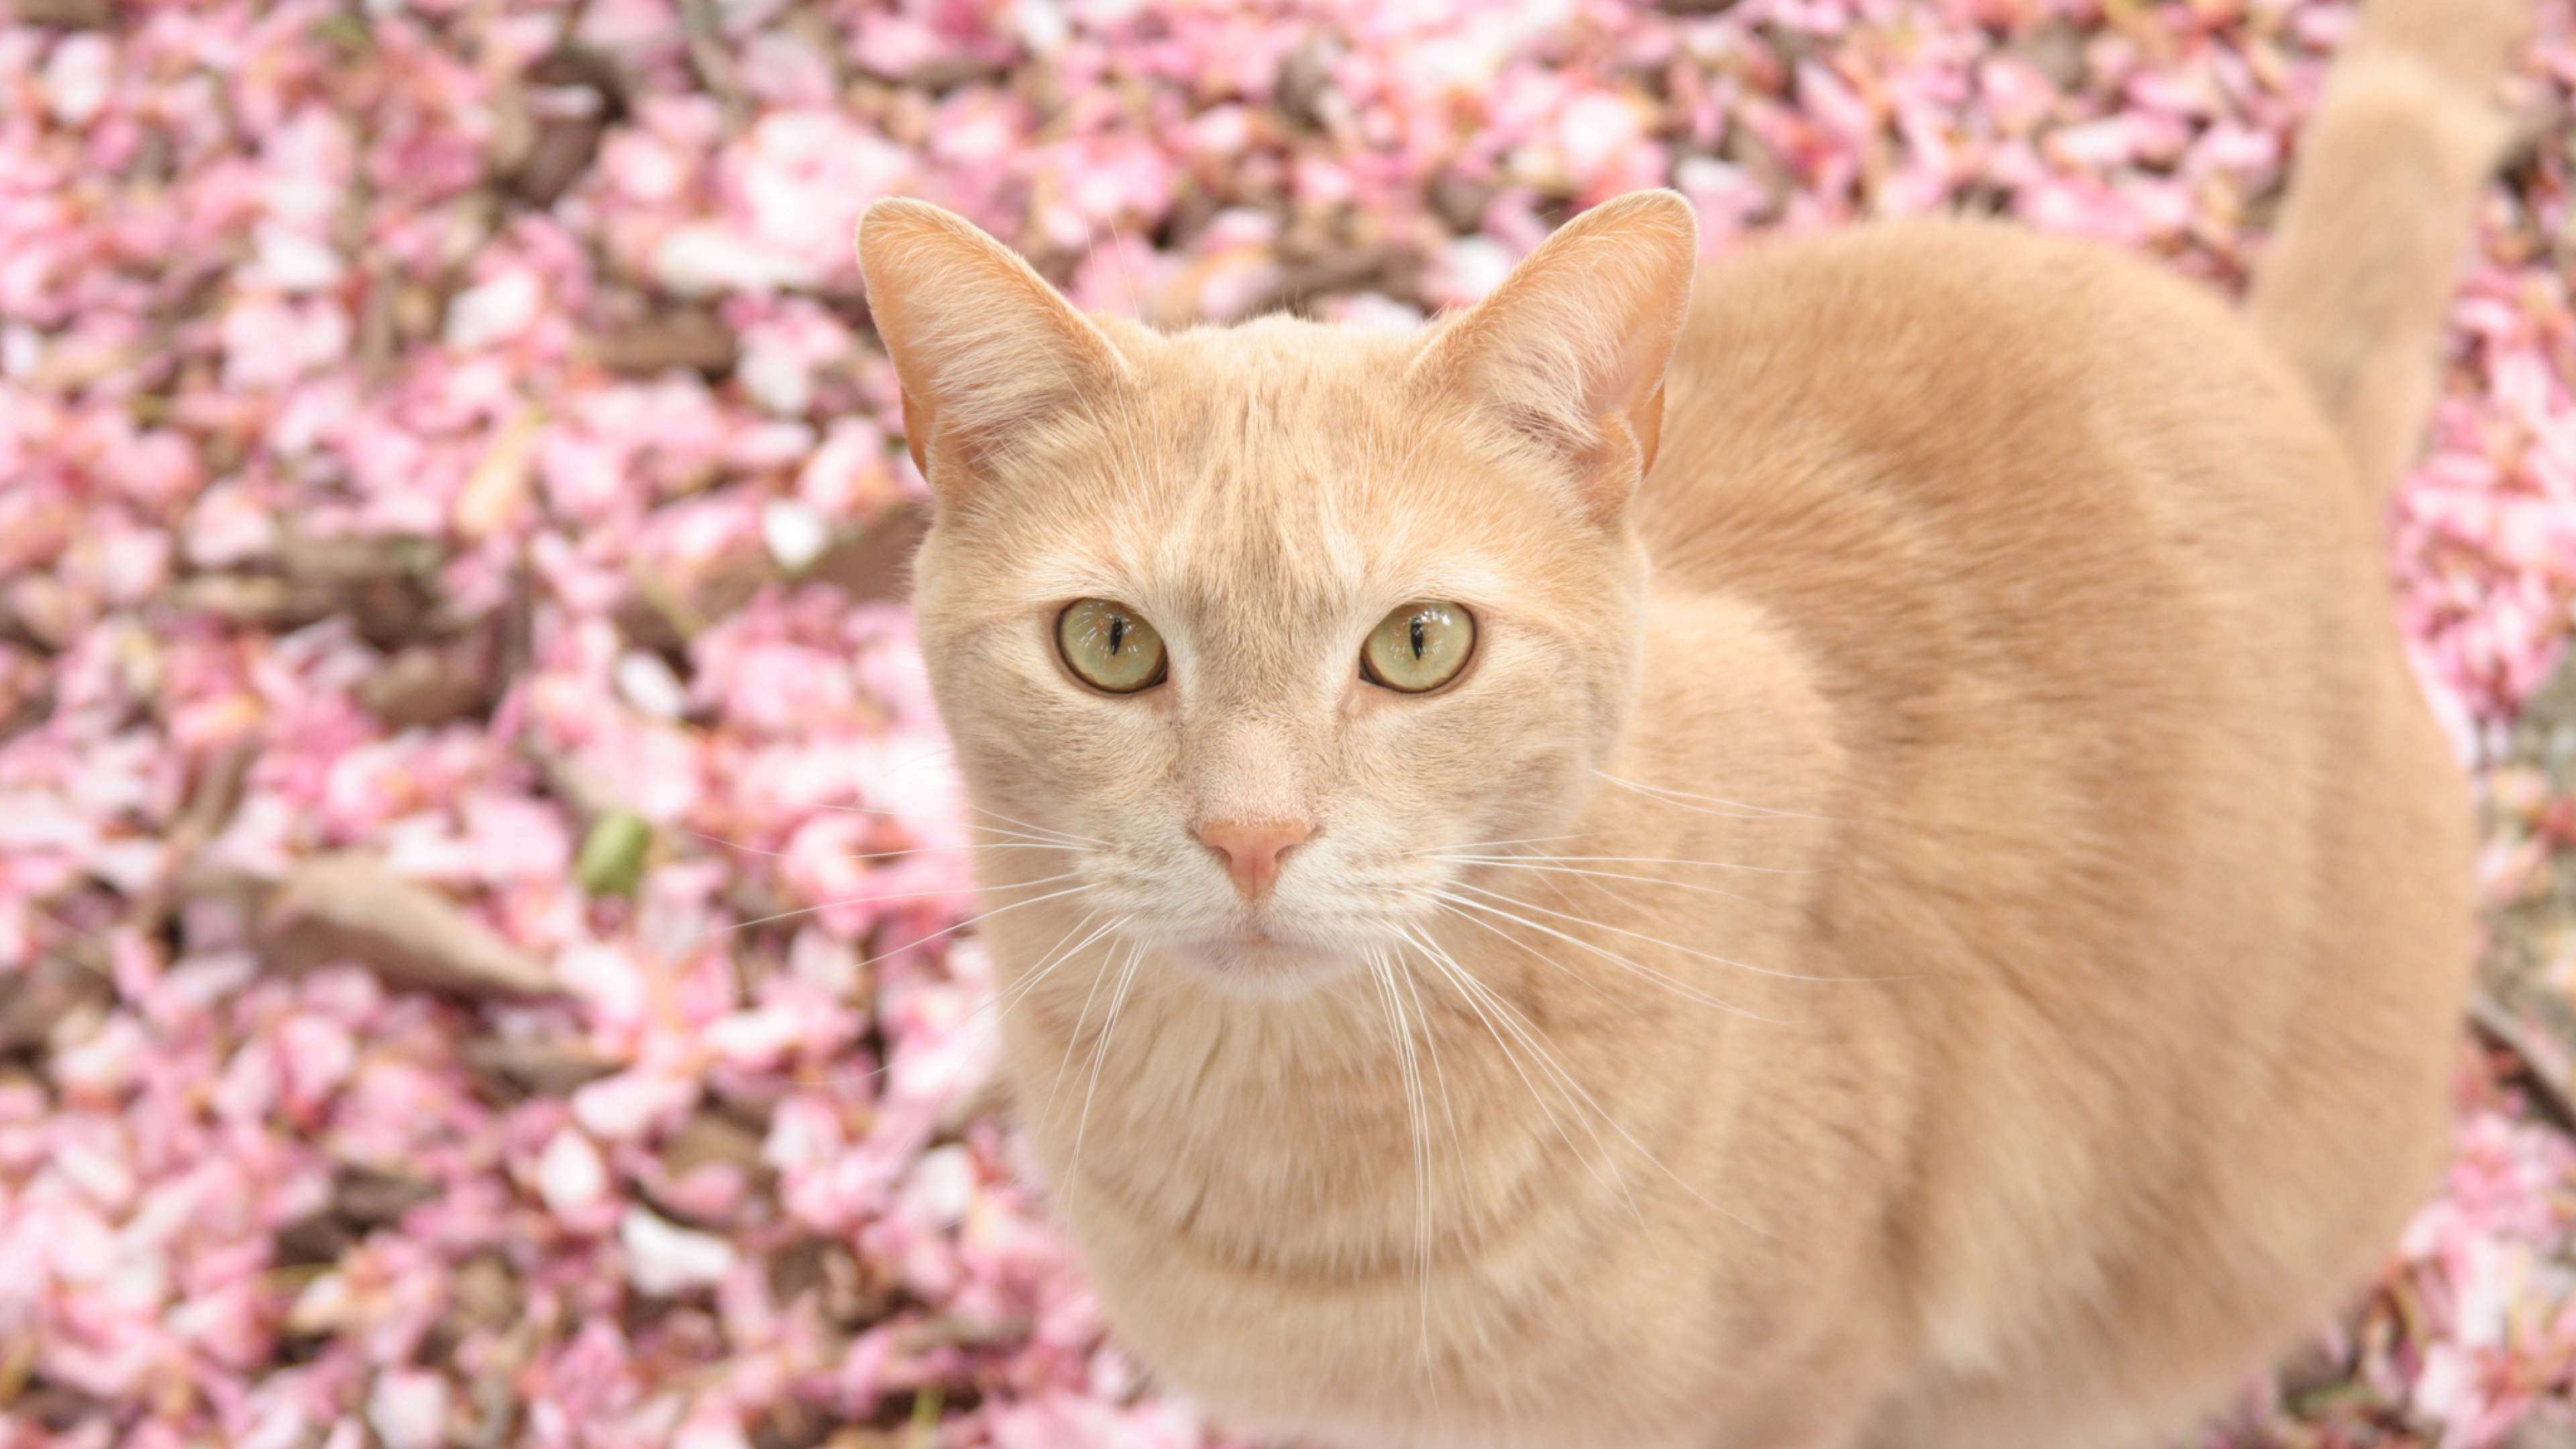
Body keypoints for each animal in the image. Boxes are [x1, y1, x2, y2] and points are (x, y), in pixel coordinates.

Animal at [855, 0, 2524, 1433]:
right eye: (1111, 645)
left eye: (1419, 646)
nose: (1252, 835)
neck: (1273, 1131)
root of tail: (2277, 391)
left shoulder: (1792, 1389)